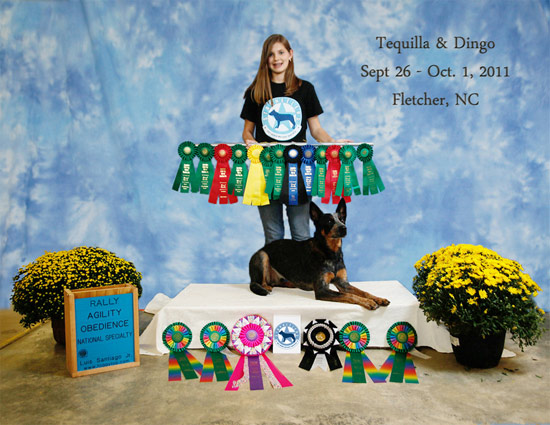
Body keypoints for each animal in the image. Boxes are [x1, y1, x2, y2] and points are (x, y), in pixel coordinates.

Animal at [250, 197, 392, 310]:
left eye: (342, 219)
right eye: (329, 221)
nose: (344, 228)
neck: (331, 253)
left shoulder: (343, 283)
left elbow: (363, 291)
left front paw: (378, 298)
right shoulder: (322, 290)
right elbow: (349, 295)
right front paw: (369, 302)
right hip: (263, 256)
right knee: (263, 282)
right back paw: (266, 287)